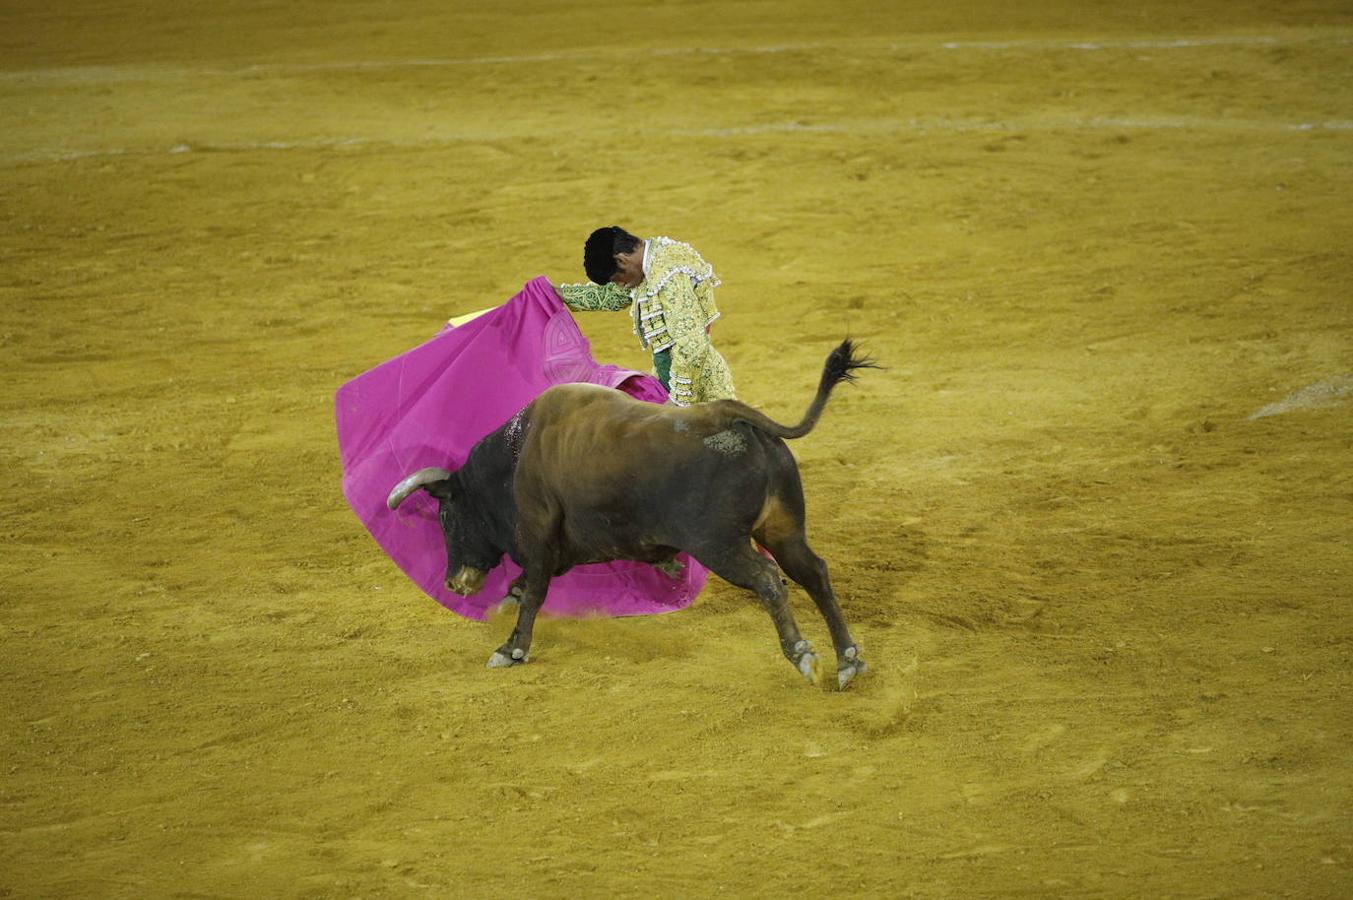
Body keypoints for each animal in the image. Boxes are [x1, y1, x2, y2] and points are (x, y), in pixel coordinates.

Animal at [392, 338, 876, 687]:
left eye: (446, 517)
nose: (453, 583)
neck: (515, 456)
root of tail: (728, 415)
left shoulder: (539, 538)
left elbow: (532, 593)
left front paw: (511, 649)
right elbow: (522, 587)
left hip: (719, 544)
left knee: (768, 578)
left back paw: (803, 655)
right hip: (783, 529)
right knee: (813, 573)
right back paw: (848, 660)